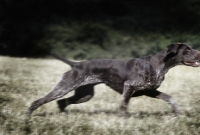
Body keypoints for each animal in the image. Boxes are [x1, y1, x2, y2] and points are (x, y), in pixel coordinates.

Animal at [27, 43, 200, 116]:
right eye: (187, 50)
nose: (199, 53)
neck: (160, 64)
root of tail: (76, 64)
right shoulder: (129, 86)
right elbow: (123, 106)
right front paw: (122, 120)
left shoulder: (149, 91)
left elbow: (170, 98)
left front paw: (177, 113)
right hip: (64, 87)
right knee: (38, 101)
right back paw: (28, 117)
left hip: (84, 95)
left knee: (62, 103)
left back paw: (64, 116)